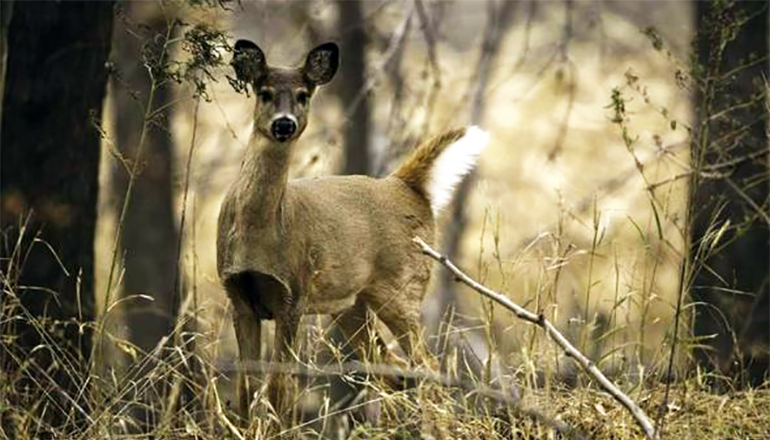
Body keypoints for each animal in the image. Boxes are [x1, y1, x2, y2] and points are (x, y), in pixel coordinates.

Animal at [216, 40, 488, 426]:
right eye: (264, 92)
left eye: (302, 95)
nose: (284, 124)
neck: (258, 233)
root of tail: (406, 186)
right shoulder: (237, 295)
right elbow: (246, 386)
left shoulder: (293, 296)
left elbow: (280, 387)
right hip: (350, 304)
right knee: (395, 368)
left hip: (401, 287)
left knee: (426, 365)